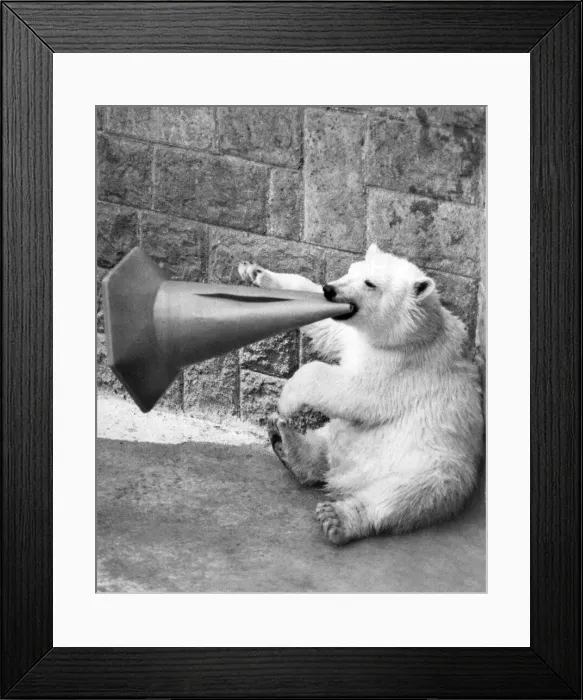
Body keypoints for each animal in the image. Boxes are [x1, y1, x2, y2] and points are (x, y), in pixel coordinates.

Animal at [238, 243, 484, 545]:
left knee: (407, 493)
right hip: (344, 439)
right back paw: (284, 439)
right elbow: (325, 327)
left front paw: (287, 398)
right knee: (323, 443)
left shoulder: (402, 366)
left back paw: (337, 517)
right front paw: (255, 271)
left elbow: (356, 393)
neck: (414, 333)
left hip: (434, 463)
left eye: (370, 283)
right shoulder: (353, 336)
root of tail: (349, 477)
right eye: (351, 270)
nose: (329, 289)